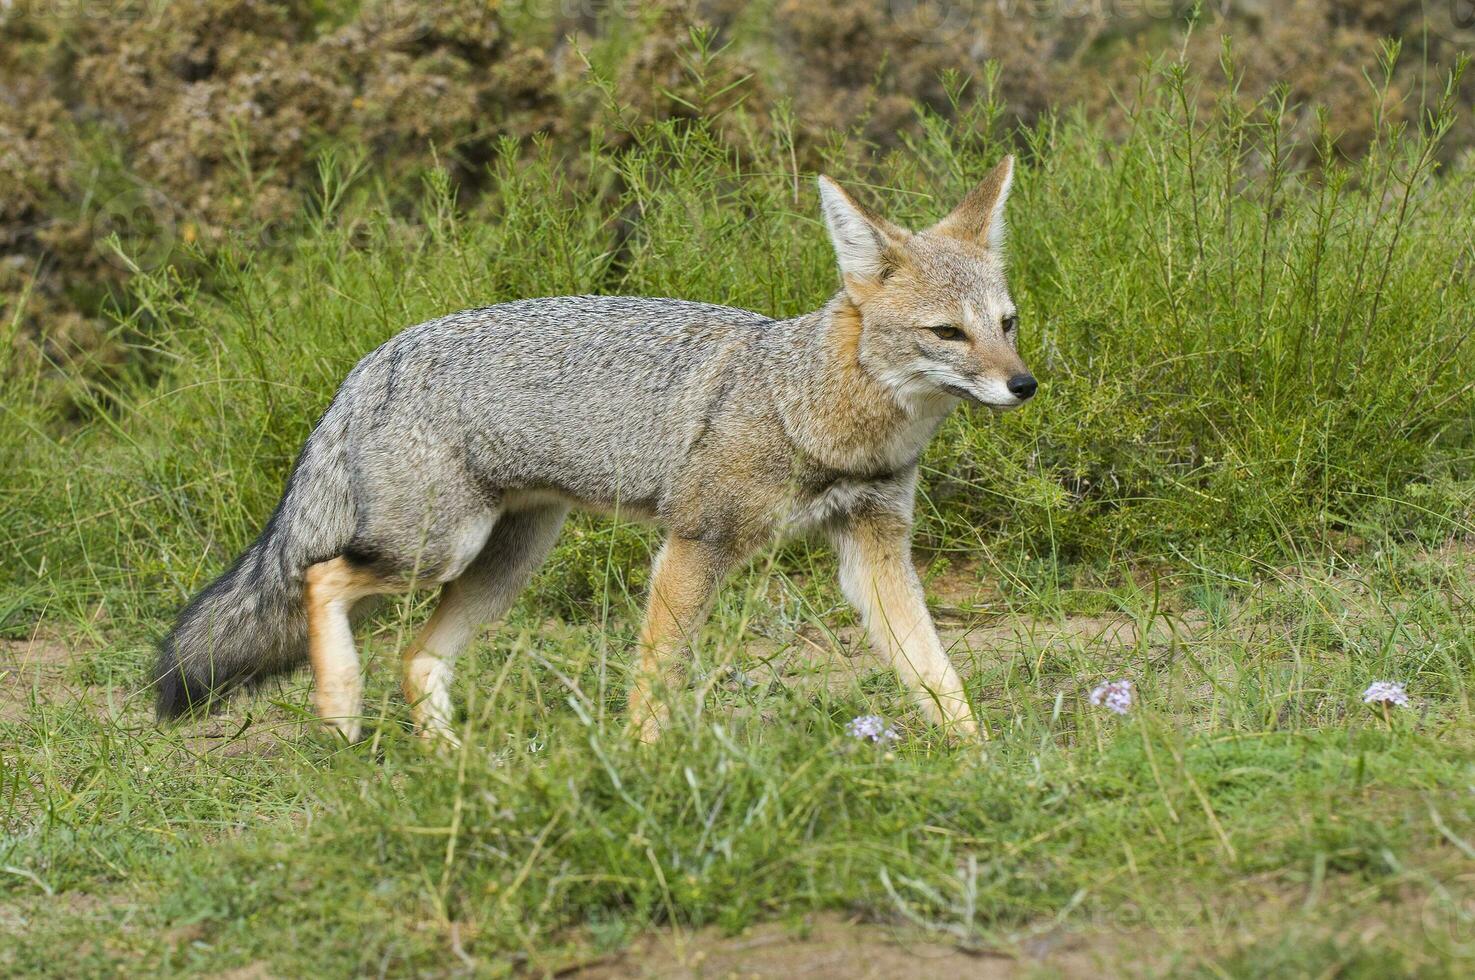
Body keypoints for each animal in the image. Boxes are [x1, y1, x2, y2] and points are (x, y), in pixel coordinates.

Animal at [155, 158, 1032, 743]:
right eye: (947, 333)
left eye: (1006, 323)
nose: (1022, 384)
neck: (807, 404)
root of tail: (377, 357)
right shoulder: (694, 545)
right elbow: (655, 679)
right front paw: (644, 766)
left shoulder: (874, 548)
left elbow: (935, 674)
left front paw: (979, 762)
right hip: (434, 551)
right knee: (319, 575)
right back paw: (340, 708)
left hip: (500, 568)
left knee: (414, 657)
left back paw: (456, 768)